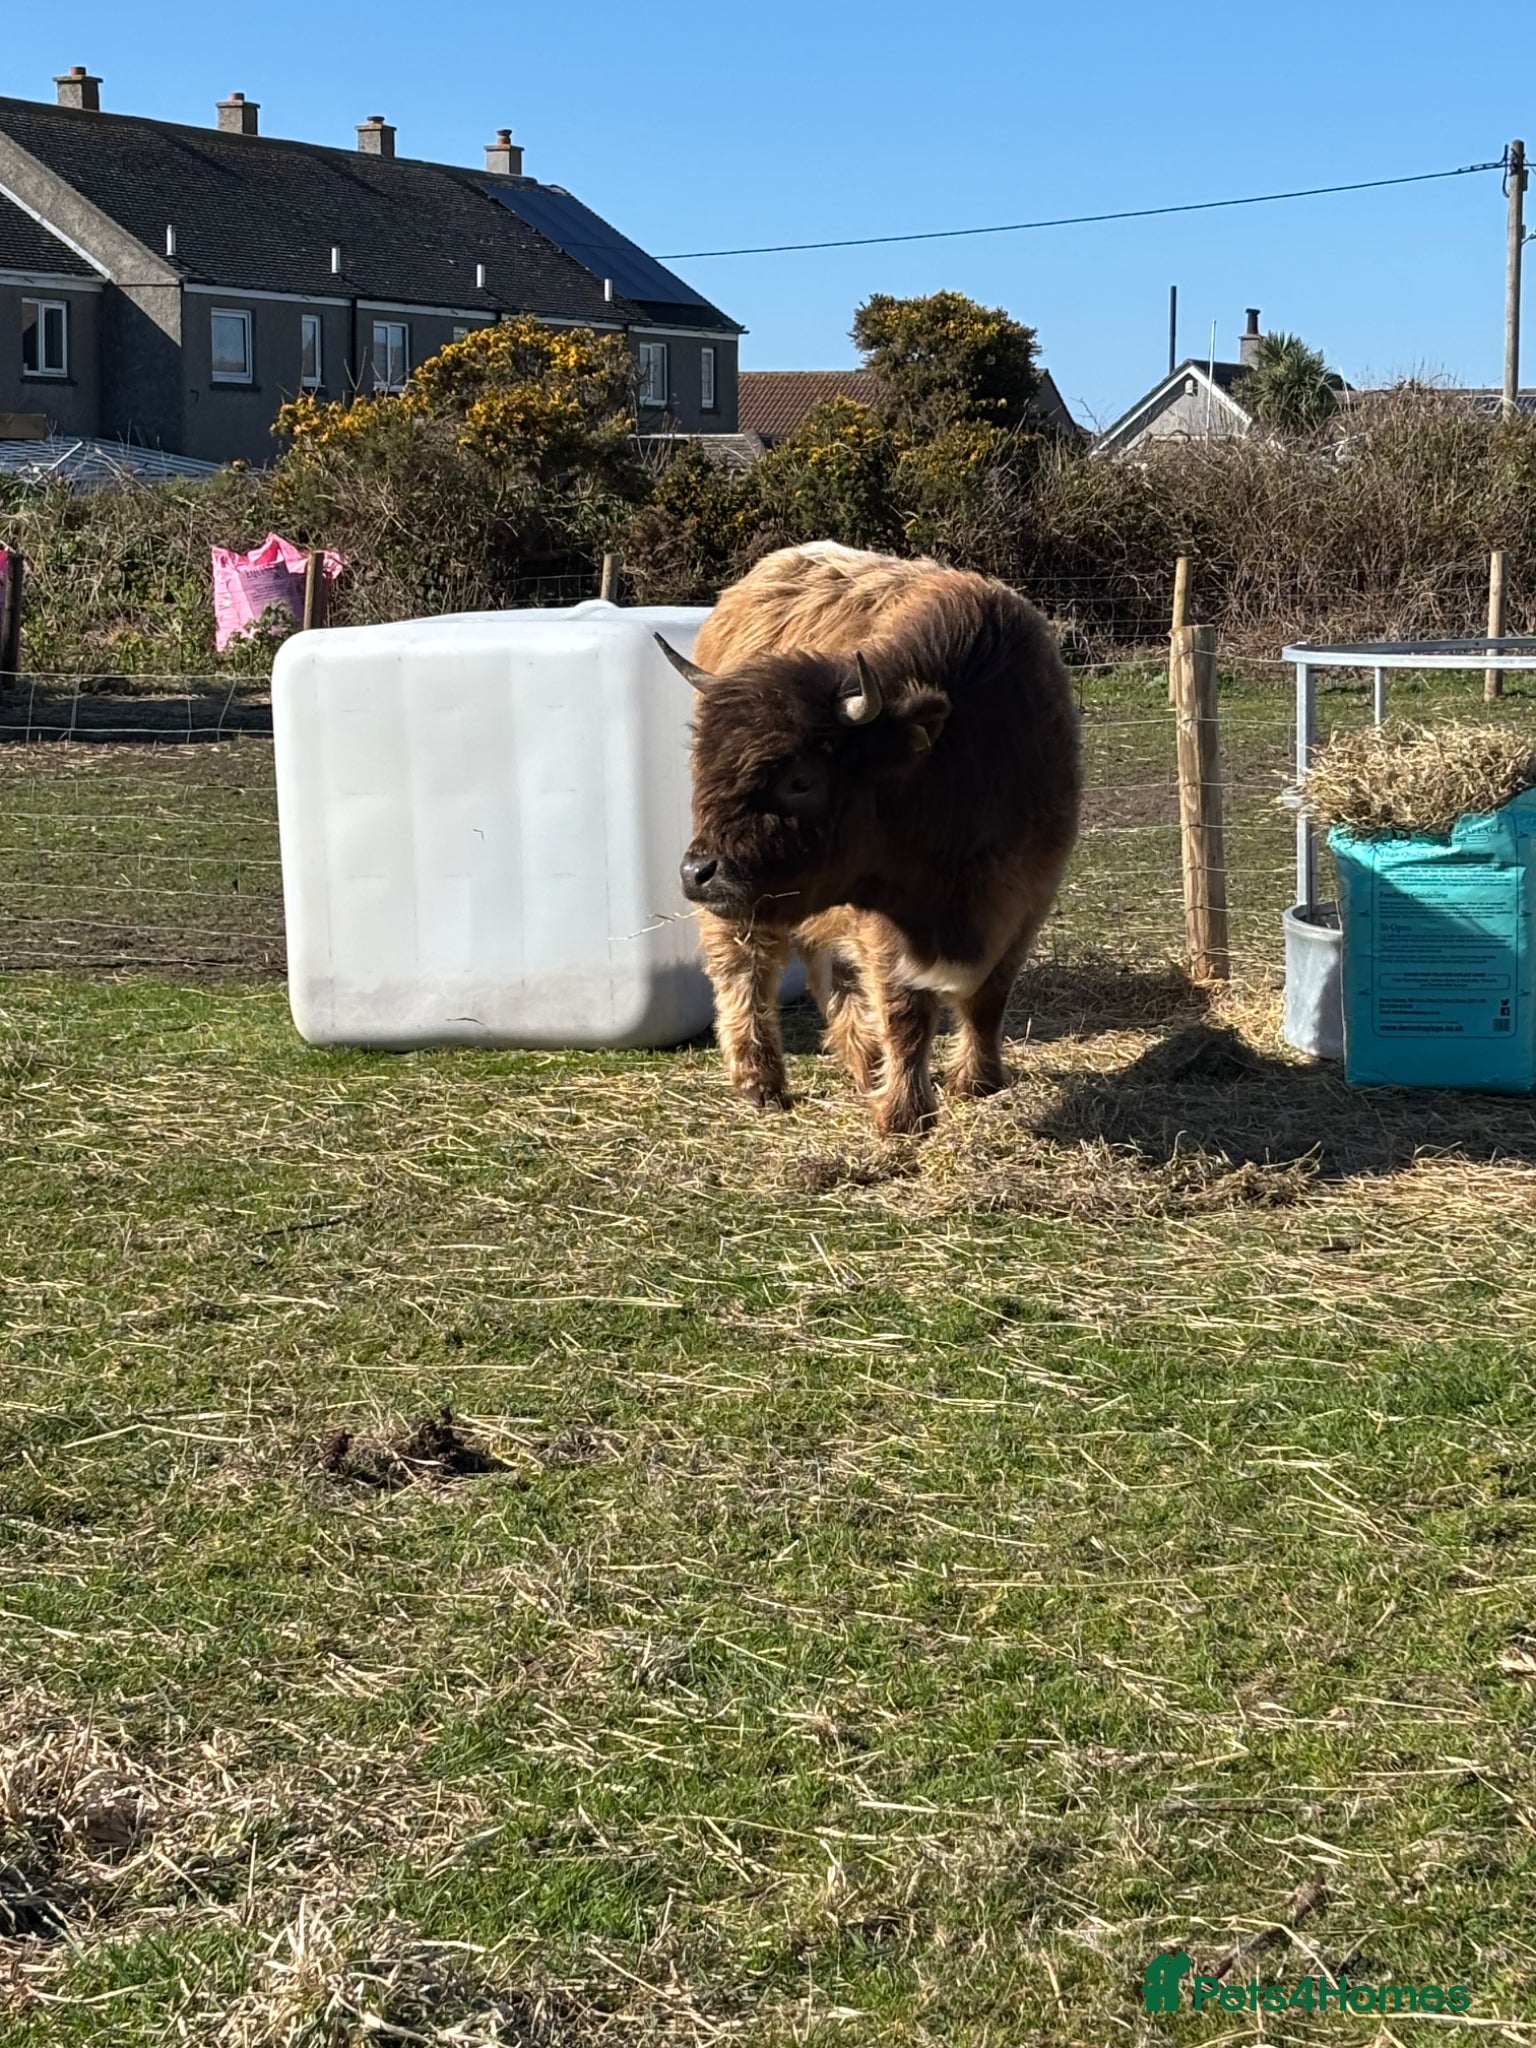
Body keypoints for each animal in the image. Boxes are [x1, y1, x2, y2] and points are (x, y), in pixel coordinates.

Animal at [655, 542, 1081, 1136]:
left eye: (801, 780)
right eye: (709, 767)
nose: (697, 873)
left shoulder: (1026, 900)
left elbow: (987, 1000)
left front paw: (978, 1082)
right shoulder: (882, 923)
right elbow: (906, 1012)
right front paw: (904, 1113)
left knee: (826, 972)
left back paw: (863, 1060)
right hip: (743, 910)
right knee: (744, 967)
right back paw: (760, 1080)